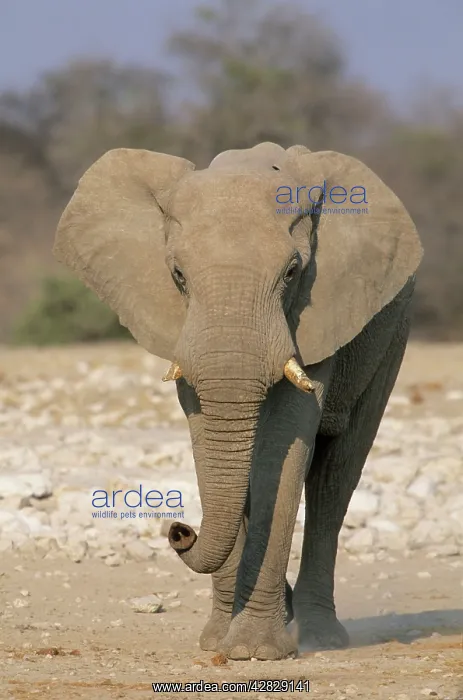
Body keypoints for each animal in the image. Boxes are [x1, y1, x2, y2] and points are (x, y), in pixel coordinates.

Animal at [53, 142, 422, 661]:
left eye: (292, 272)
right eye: (178, 275)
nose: (179, 530)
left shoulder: (316, 315)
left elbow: (280, 449)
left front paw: (256, 651)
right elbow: (209, 440)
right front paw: (217, 643)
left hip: (392, 332)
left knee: (337, 474)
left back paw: (320, 637)